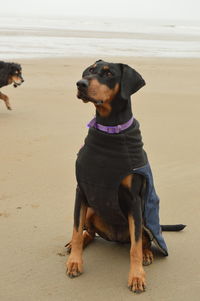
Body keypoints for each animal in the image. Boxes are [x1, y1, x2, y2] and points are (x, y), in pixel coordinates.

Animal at [66, 59, 186, 292]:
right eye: (90, 71)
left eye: (108, 74)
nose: (80, 83)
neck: (110, 130)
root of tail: (115, 238)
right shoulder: (81, 190)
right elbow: (76, 229)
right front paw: (75, 262)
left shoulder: (134, 200)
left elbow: (135, 246)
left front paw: (137, 276)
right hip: (93, 210)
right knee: (89, 233)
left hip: (143, 217)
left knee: (142, 241)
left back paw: (147, 254)